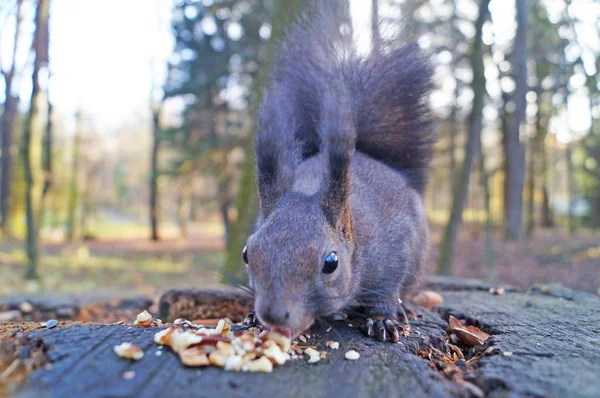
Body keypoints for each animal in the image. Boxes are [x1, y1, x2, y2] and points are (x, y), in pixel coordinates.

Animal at [241, 2, 434, 342]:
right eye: (246, 254)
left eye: (331, 263)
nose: (273, 314)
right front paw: (252, 317)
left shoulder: (394, 251)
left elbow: (386, 291)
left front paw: (383, 320)